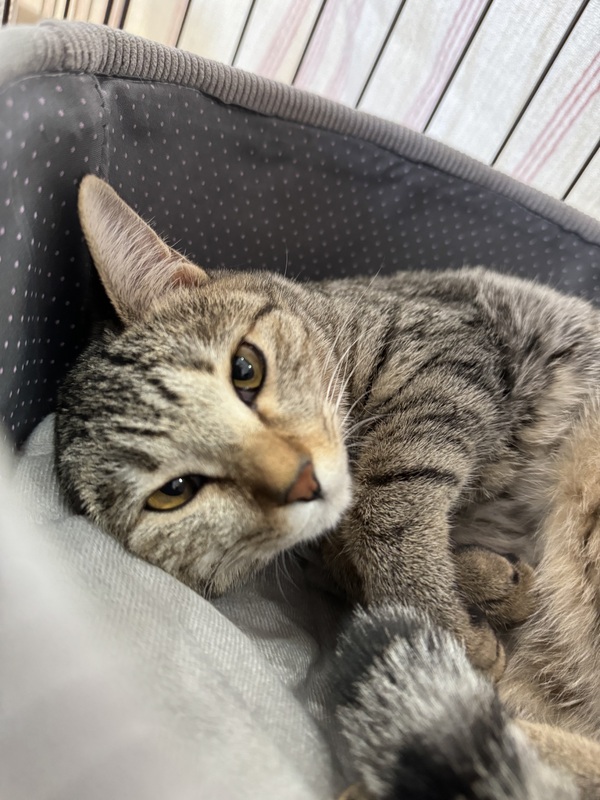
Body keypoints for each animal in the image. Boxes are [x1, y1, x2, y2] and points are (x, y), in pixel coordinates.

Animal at [55, 175, 600, 798]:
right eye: (177, 490)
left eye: (245, 369)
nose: (301, 479)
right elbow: (361, 564)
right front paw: (483, 594)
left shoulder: (451, 352)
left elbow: (384, 512)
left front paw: (455, 623)